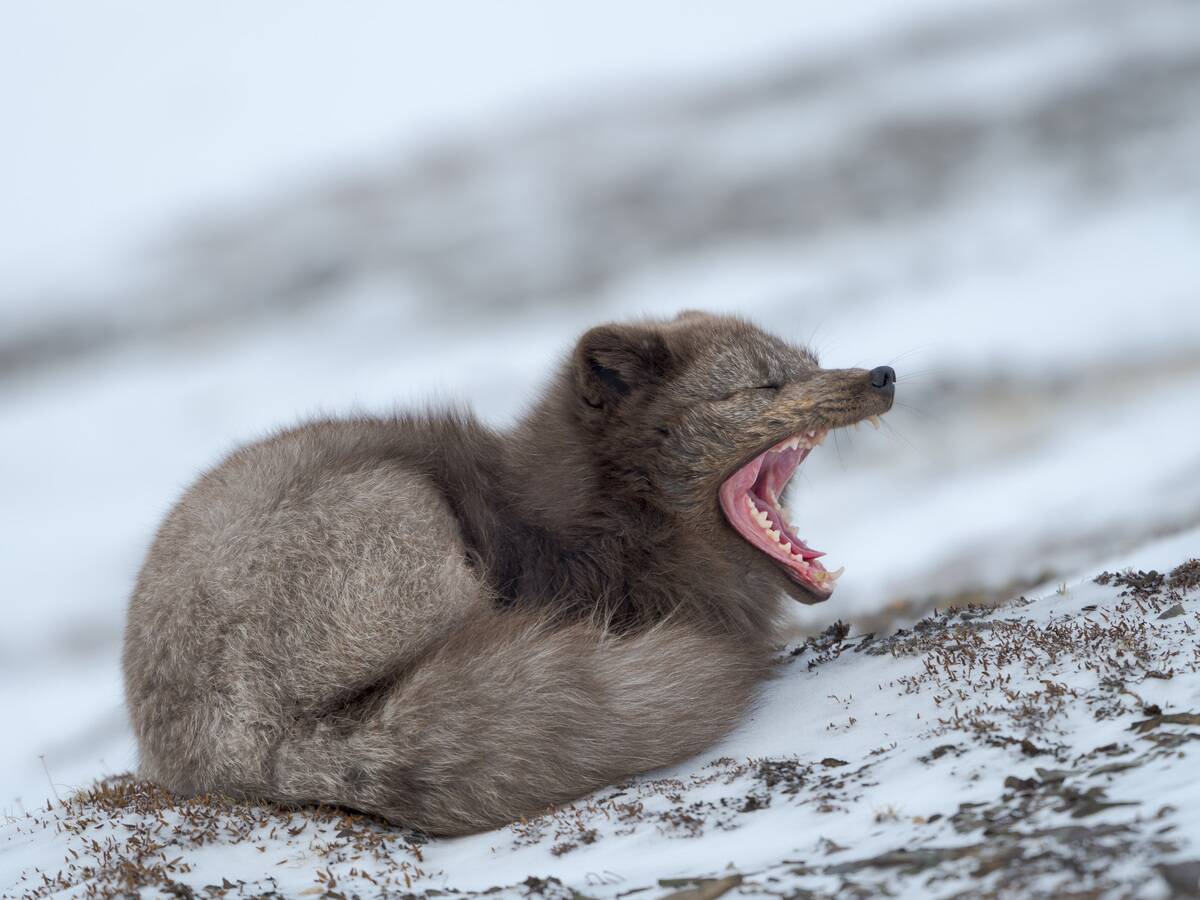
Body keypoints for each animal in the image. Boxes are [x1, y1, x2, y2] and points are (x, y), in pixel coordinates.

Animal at [122, 311, 895, 835]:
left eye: (810, 361)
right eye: (765, 385)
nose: (883, 375)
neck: (589, 520)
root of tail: (247, 759)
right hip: (399, 511)